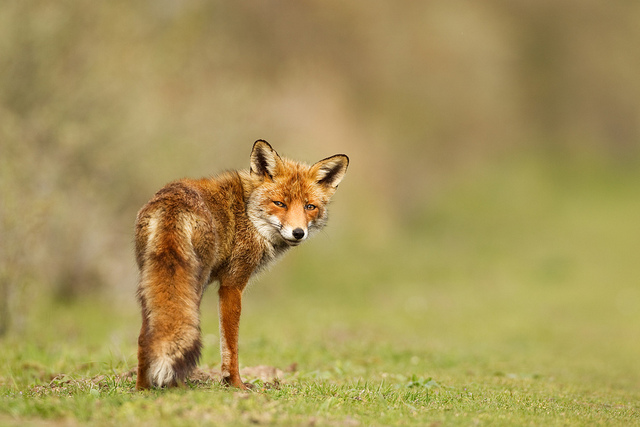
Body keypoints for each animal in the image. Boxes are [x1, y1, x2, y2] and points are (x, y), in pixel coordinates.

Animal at [132, 140, 348, 392]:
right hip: (194, 283)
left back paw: (142, 389)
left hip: (151, 284)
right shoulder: (232, 284)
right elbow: (231, 344)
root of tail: (172, 200)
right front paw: (236, 385)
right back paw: (178, 388)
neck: (248, 214)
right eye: (279, 204)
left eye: (309, 207)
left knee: (145, 337)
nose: (298, 233)